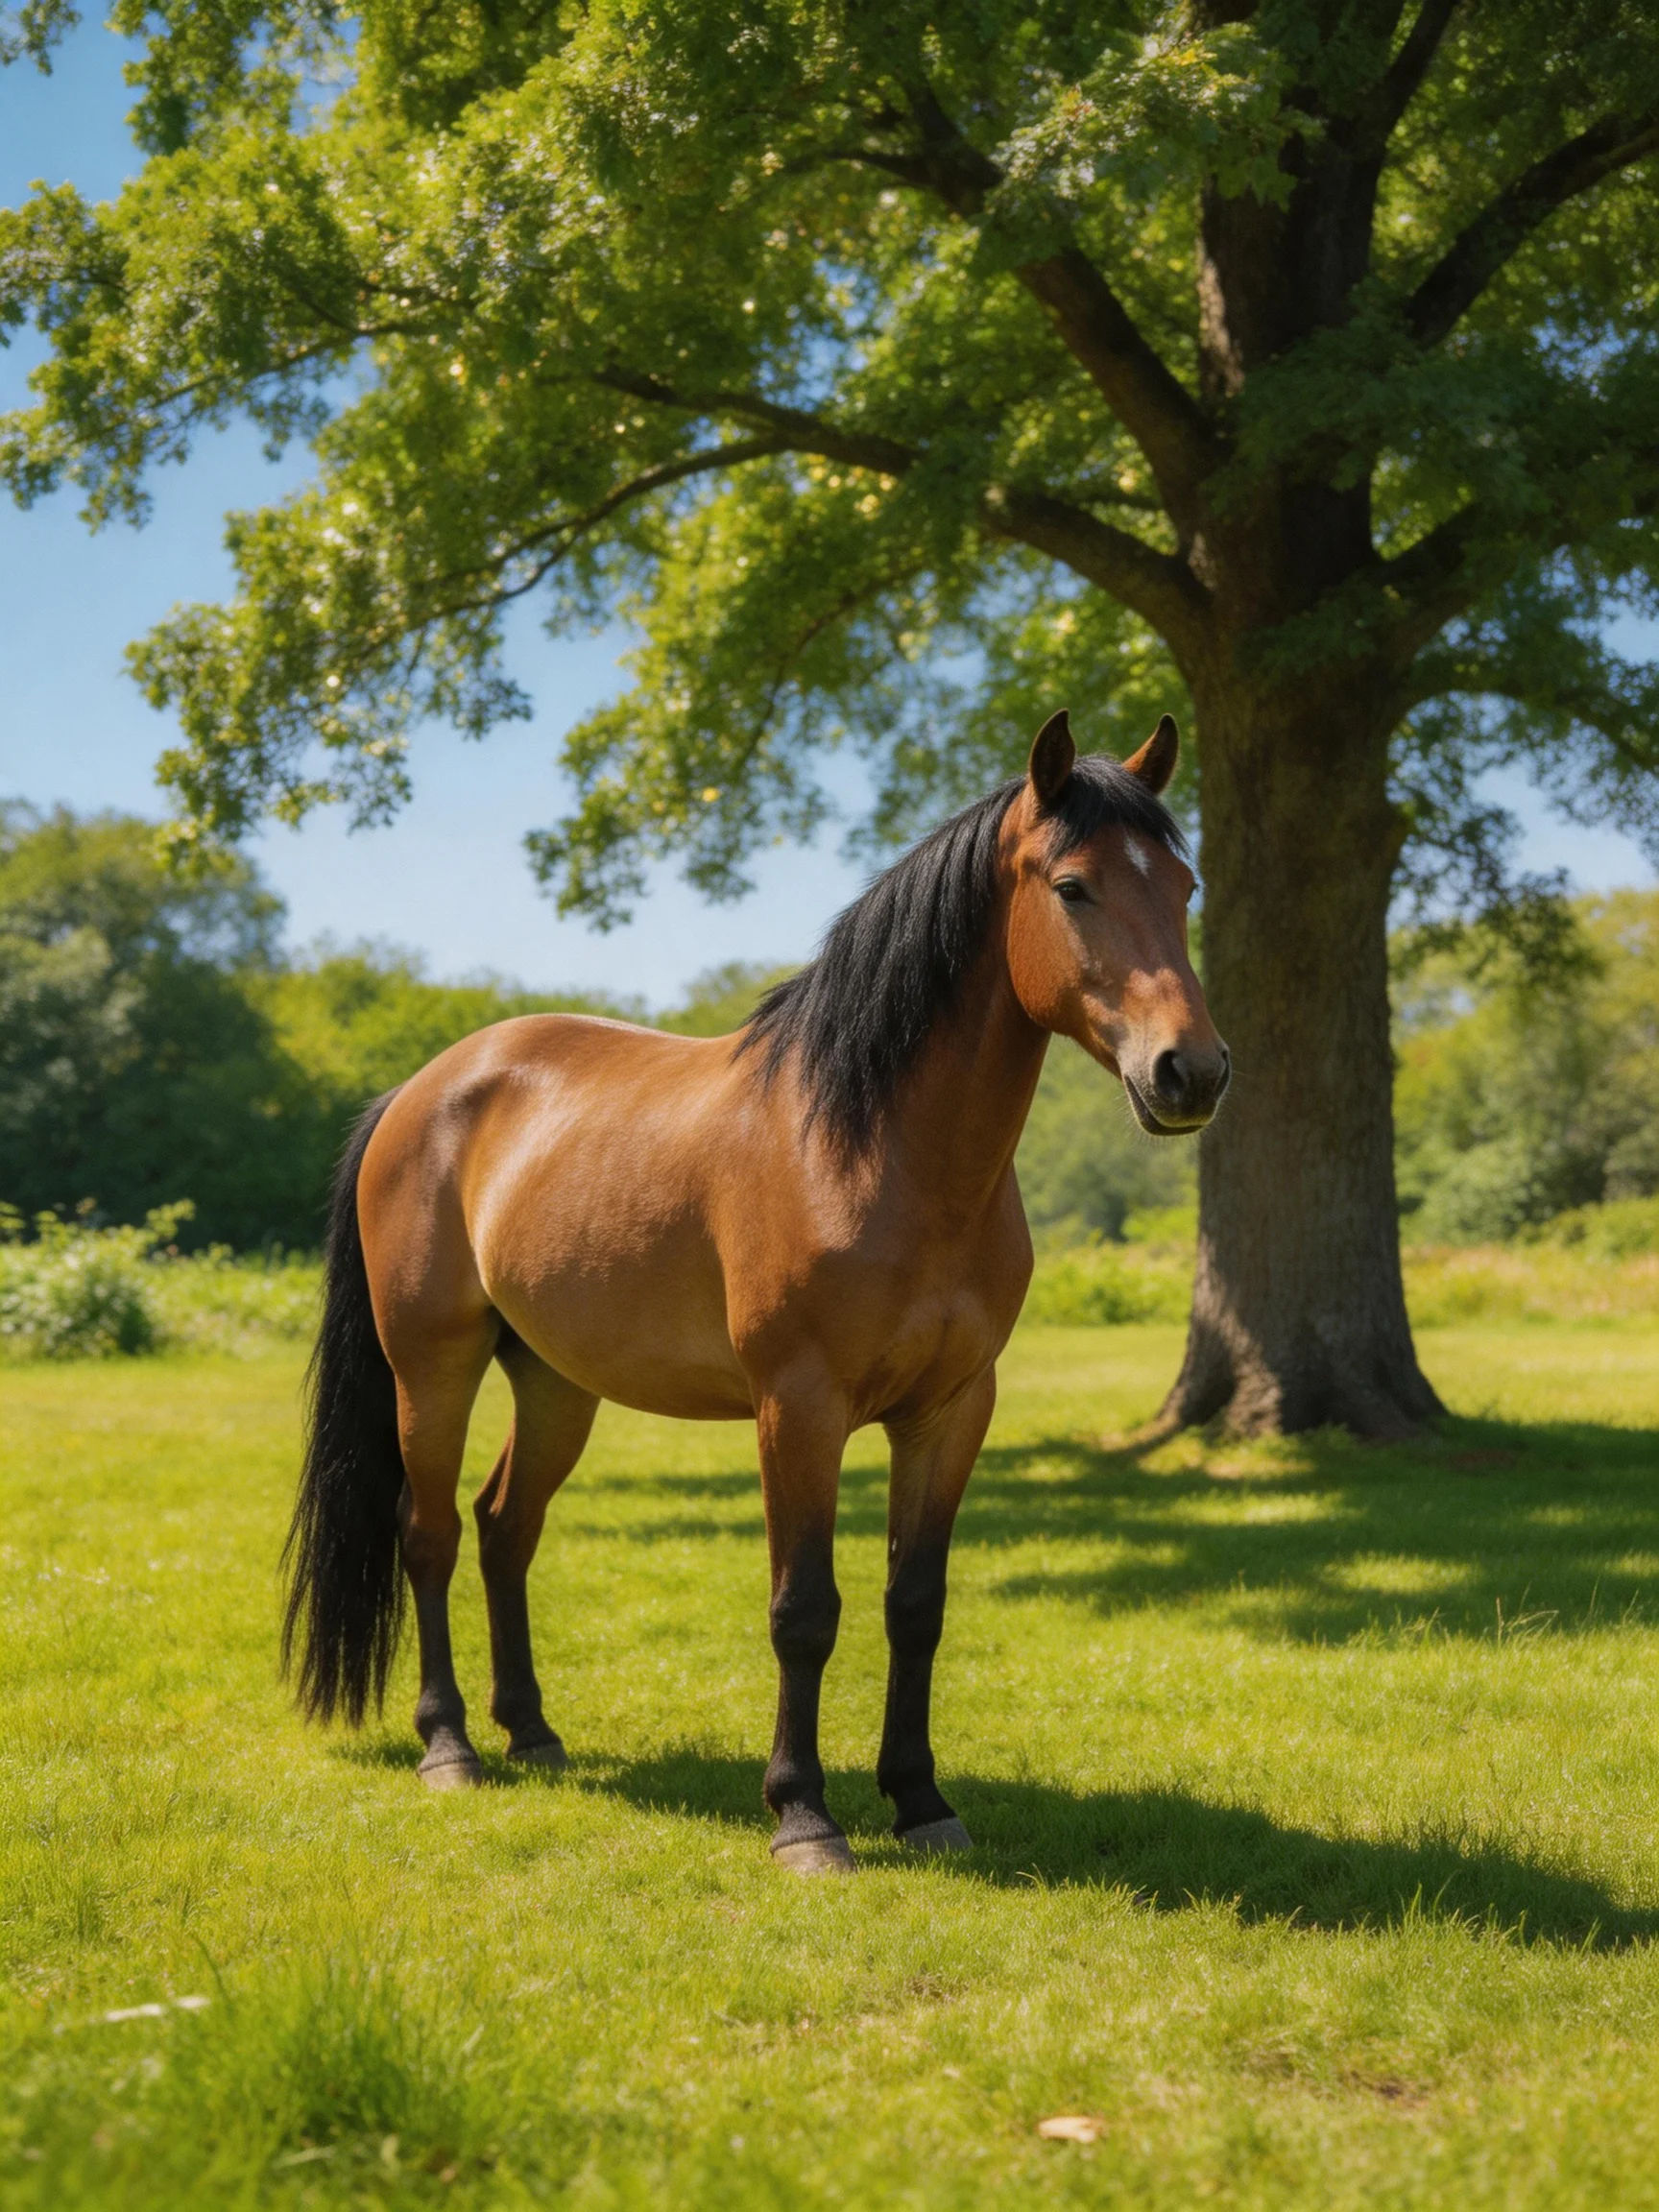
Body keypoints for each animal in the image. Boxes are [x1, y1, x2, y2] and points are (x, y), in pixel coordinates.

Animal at [283, 709, 1229, 1873]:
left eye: (1183, 885)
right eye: (1073, 886)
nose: (1191, 1071)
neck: (875, 1150)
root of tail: (420, 1092)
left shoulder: (952, 1411)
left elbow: (915, 1604)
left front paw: (920, 1801)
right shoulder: (798, 1409)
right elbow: (803, 1610)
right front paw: (804, 1816)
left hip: (554, 1381)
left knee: (506, 1527)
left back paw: (534, 1733)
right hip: (434, 1368)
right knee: (430, 1533)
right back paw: (450, 1746)